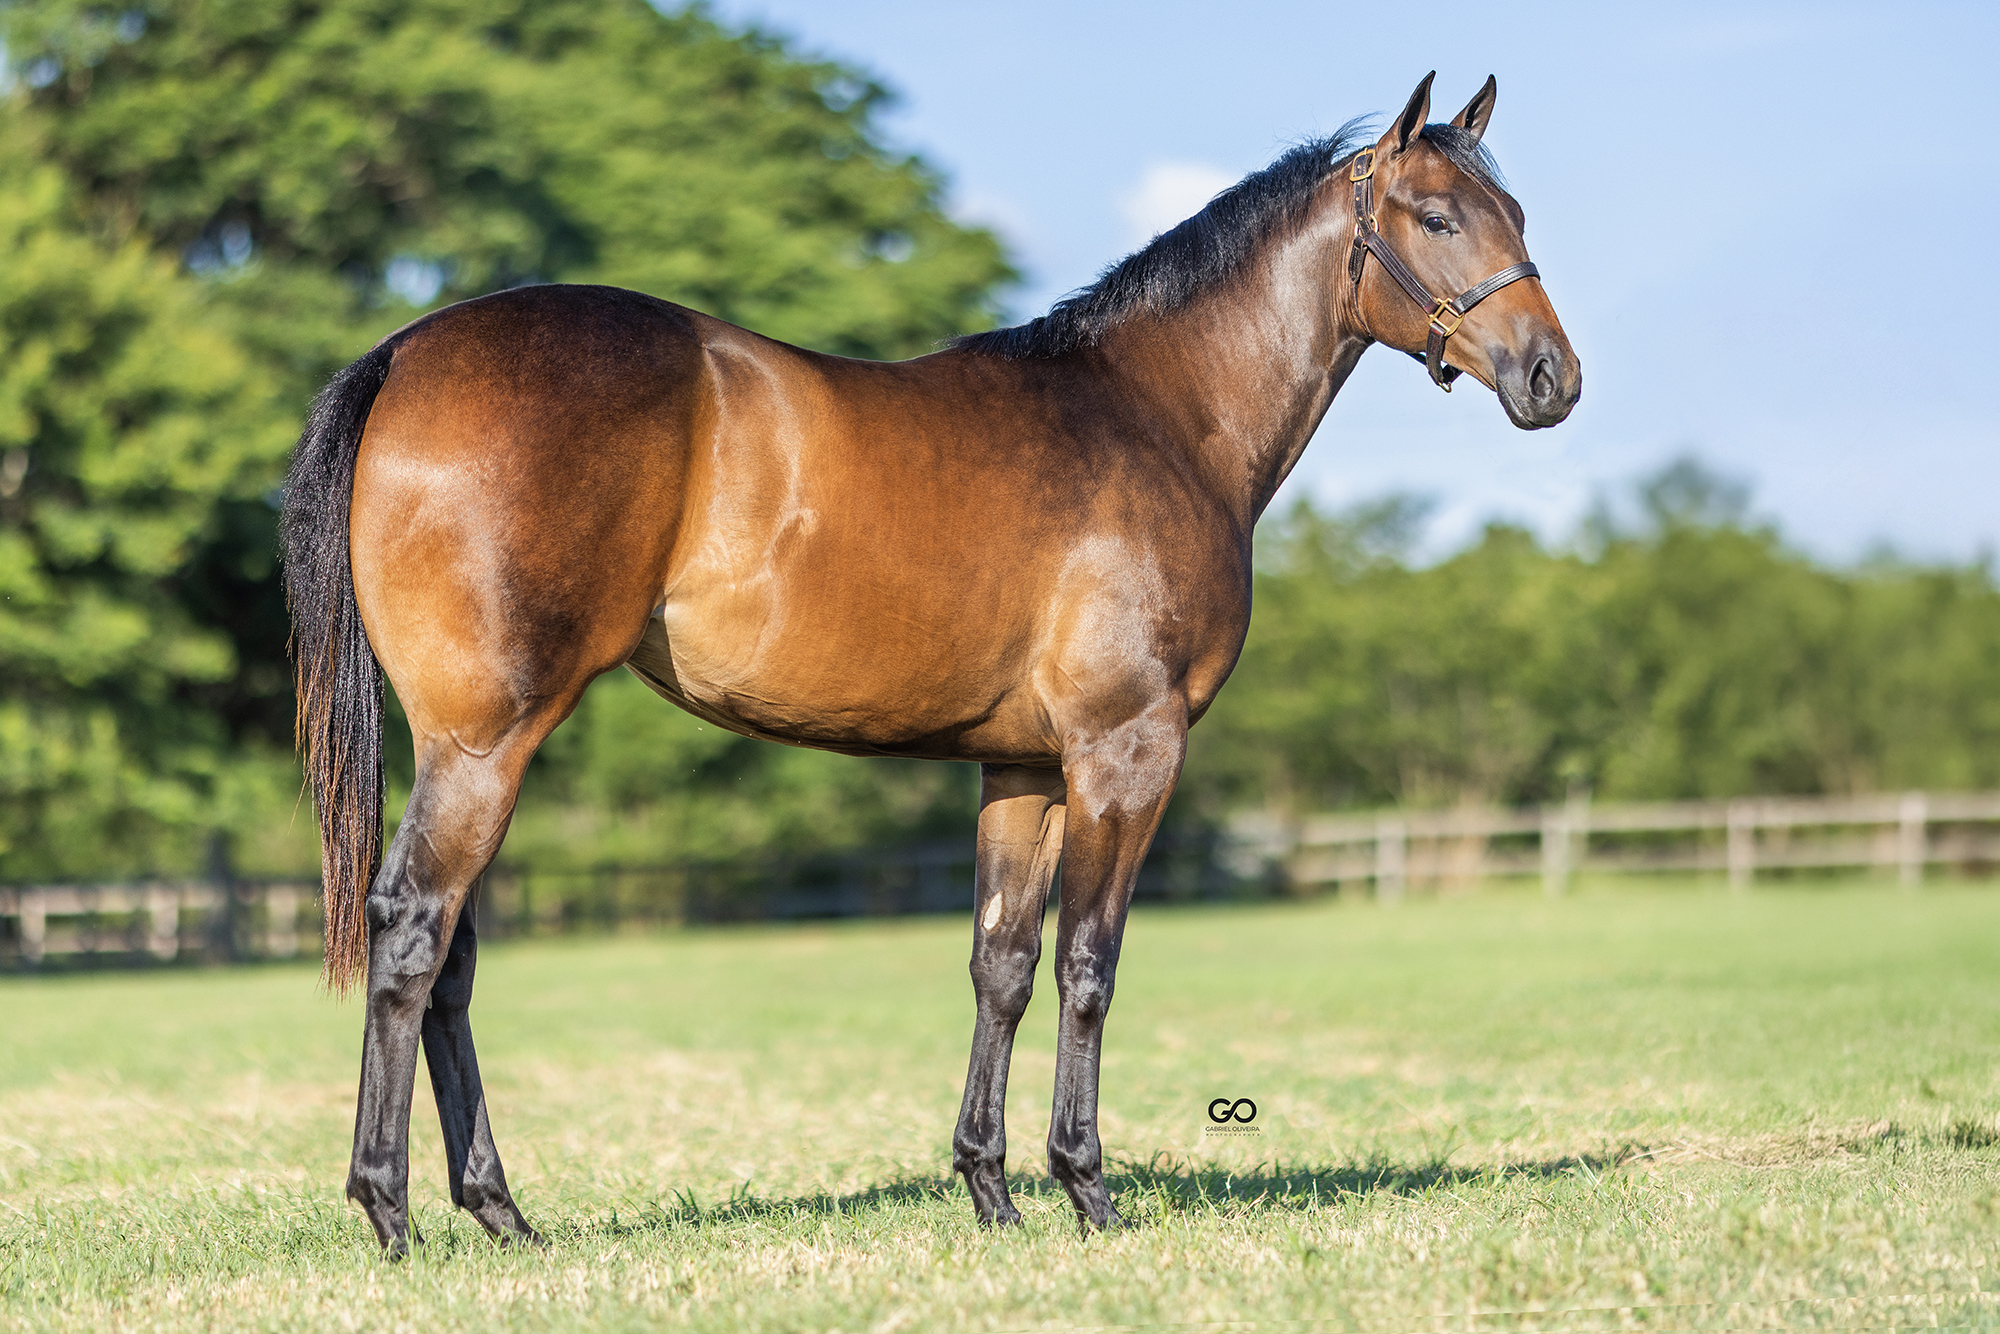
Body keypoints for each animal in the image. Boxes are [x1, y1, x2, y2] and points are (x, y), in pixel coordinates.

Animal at [281, 72, 1579, 1253]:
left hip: (471, 742)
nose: (1551, 379)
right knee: (413, 930)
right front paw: (1086, 1187)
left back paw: (499, 1211)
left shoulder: (1022, 768)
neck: (1159, 415)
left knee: (449, 955)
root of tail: (407, 352)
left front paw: (990, 1189)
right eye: (1436, 215)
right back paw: (390, 1208)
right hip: (487, 739)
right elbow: (1088, 963)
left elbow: (1000, 963)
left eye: (1515, 213)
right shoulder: (1125, 751)